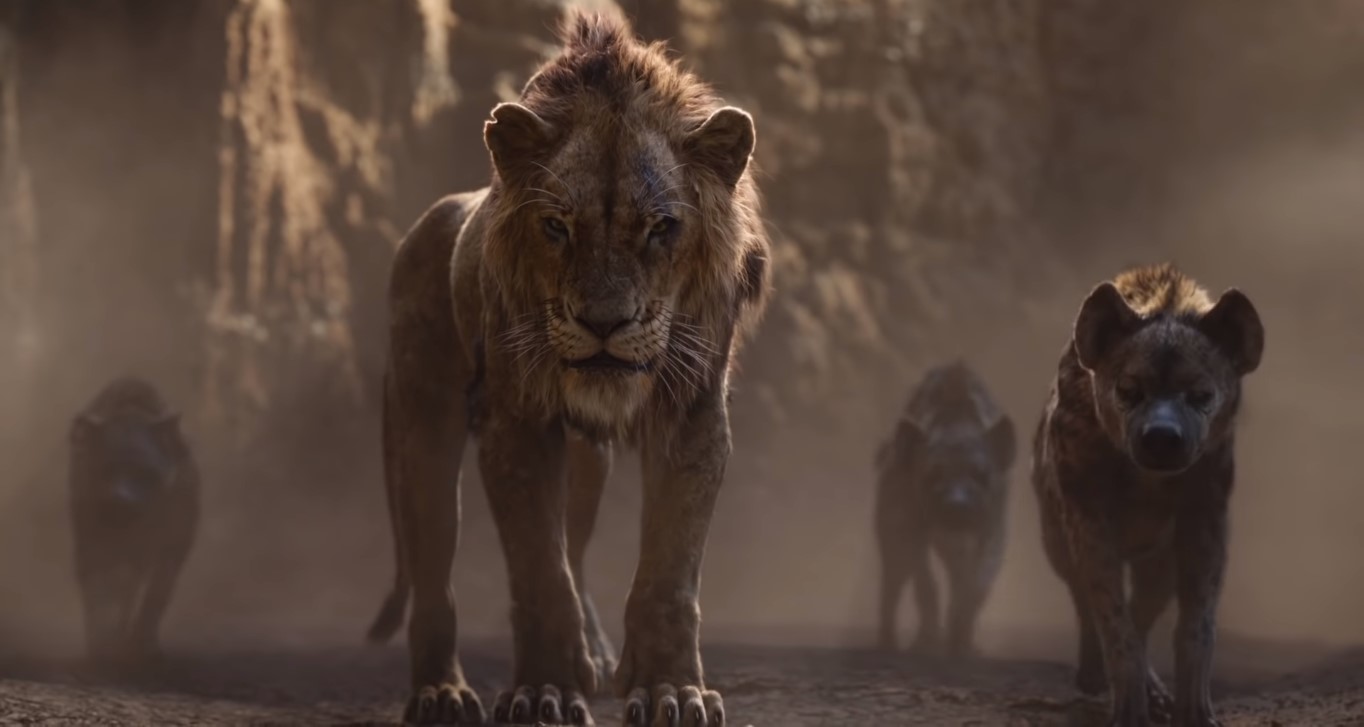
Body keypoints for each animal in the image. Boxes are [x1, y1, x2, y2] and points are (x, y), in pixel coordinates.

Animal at [364, 11, 770, 726]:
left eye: (660, 228)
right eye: (556, 226)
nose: (604, 323)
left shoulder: (693, 418)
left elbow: (667, 574)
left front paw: (669, 691)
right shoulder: (517, 424)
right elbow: (538, 571)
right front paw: (543, 692)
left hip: (586, 463)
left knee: (576, 548)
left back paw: (597, 655)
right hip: (423, 426)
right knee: (435, 571)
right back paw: (440, 692)